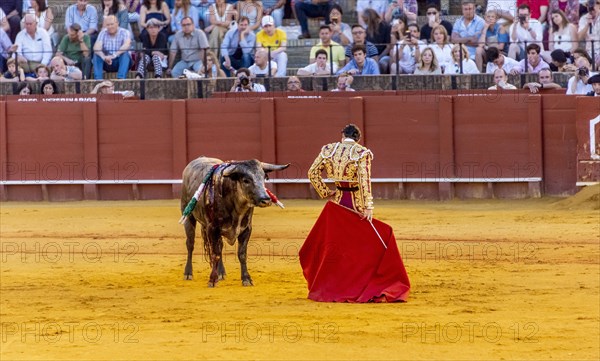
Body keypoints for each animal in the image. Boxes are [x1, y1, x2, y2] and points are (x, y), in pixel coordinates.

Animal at [179, 156, 290, 286]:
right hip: (188, 217)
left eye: (263, 177)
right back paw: (188, 273)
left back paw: (221, 272)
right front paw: (212, 280)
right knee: (190, 244)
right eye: (246, 180)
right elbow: (215, 254)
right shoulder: (212, 228)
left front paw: (246, 278)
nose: (266, 200)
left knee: (220, 246)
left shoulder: (246, 229)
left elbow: (241, 254)